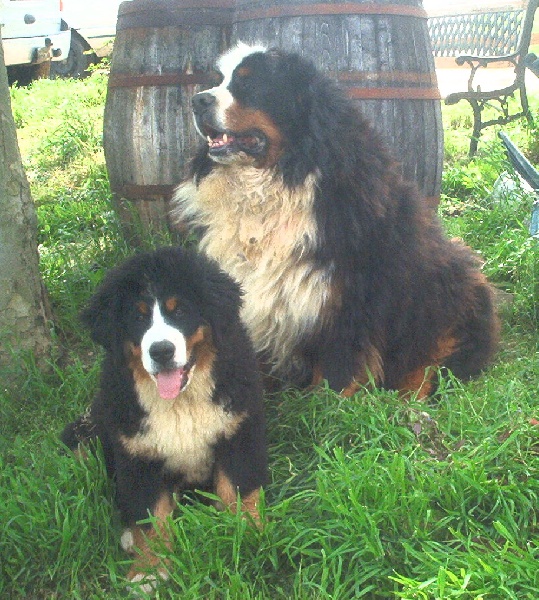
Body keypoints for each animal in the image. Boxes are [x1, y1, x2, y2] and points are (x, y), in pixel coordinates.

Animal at [62, 245, 266, 592]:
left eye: (180, 311)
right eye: (138, 316)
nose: (161, 351)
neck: (180, 404)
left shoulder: (237, 430)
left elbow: (238, 488)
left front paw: (247, 532)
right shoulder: (138, 454)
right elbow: (149, 516)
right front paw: (148, 570)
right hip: (92, 430)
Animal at [175, 43, 500, 398]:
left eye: (250, 83)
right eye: (218, 81)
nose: (198, 100)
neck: (276, 183)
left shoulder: (346, 297)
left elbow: (337, 372)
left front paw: (330, 408)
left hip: (452, 292)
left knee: (432, 361)